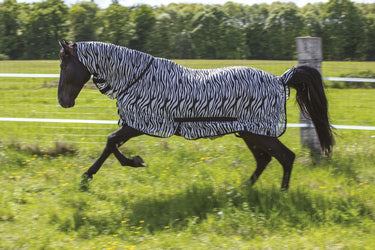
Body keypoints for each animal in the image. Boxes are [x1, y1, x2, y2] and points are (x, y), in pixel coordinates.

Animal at [58, 40, 334, 189]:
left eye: (64, 63)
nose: (63, 101)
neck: (136, 78)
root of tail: (281, 79)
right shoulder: (135, 124)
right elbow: (112, 144)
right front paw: (92, 175)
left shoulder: (139, 124)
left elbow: (111, 141)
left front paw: (129, 163)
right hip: (249, 134)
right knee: (265, 160)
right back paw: (243, 189)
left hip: (259, 133)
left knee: (286, 157)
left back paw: (281, 194)